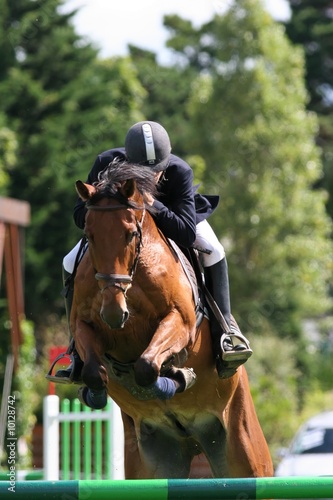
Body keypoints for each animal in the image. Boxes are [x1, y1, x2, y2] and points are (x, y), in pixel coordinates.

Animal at [69, 162, 272, 478]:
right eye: (89, 236)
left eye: (130, 234)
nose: (113, 313)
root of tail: (195, 442)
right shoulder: (82, 325)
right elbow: (93, 369)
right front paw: (95, 392)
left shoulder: (180, 322)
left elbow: (146, 365)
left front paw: (177, 378)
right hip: (153, 464)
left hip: (246, 456)